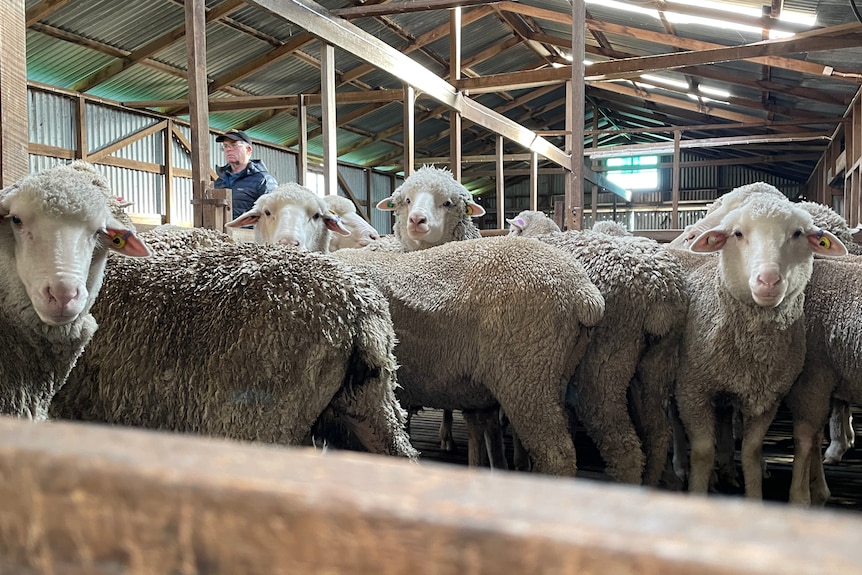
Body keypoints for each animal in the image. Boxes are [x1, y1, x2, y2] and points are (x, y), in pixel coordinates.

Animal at [672, 195, 848, 500]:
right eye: (738, 234)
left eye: (797, 233)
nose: (768, 280)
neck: (751, 352)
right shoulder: (692, 390)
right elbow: (703, 452)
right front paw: (697, 489)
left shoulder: (766, 398)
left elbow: (751, 453)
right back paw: (681, 467)